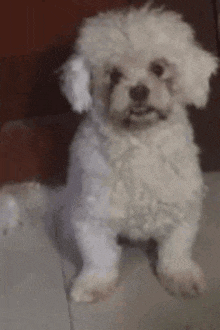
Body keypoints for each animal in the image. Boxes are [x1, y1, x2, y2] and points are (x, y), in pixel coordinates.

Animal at [0, 3, 218, 304]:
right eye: (114, 74)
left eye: (158, 68)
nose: (138, 90)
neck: (139, 142)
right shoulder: (91, 215)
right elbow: (99, 256)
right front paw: (93, 283)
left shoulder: (182, 207)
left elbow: (176, 250)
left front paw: (181, 276)